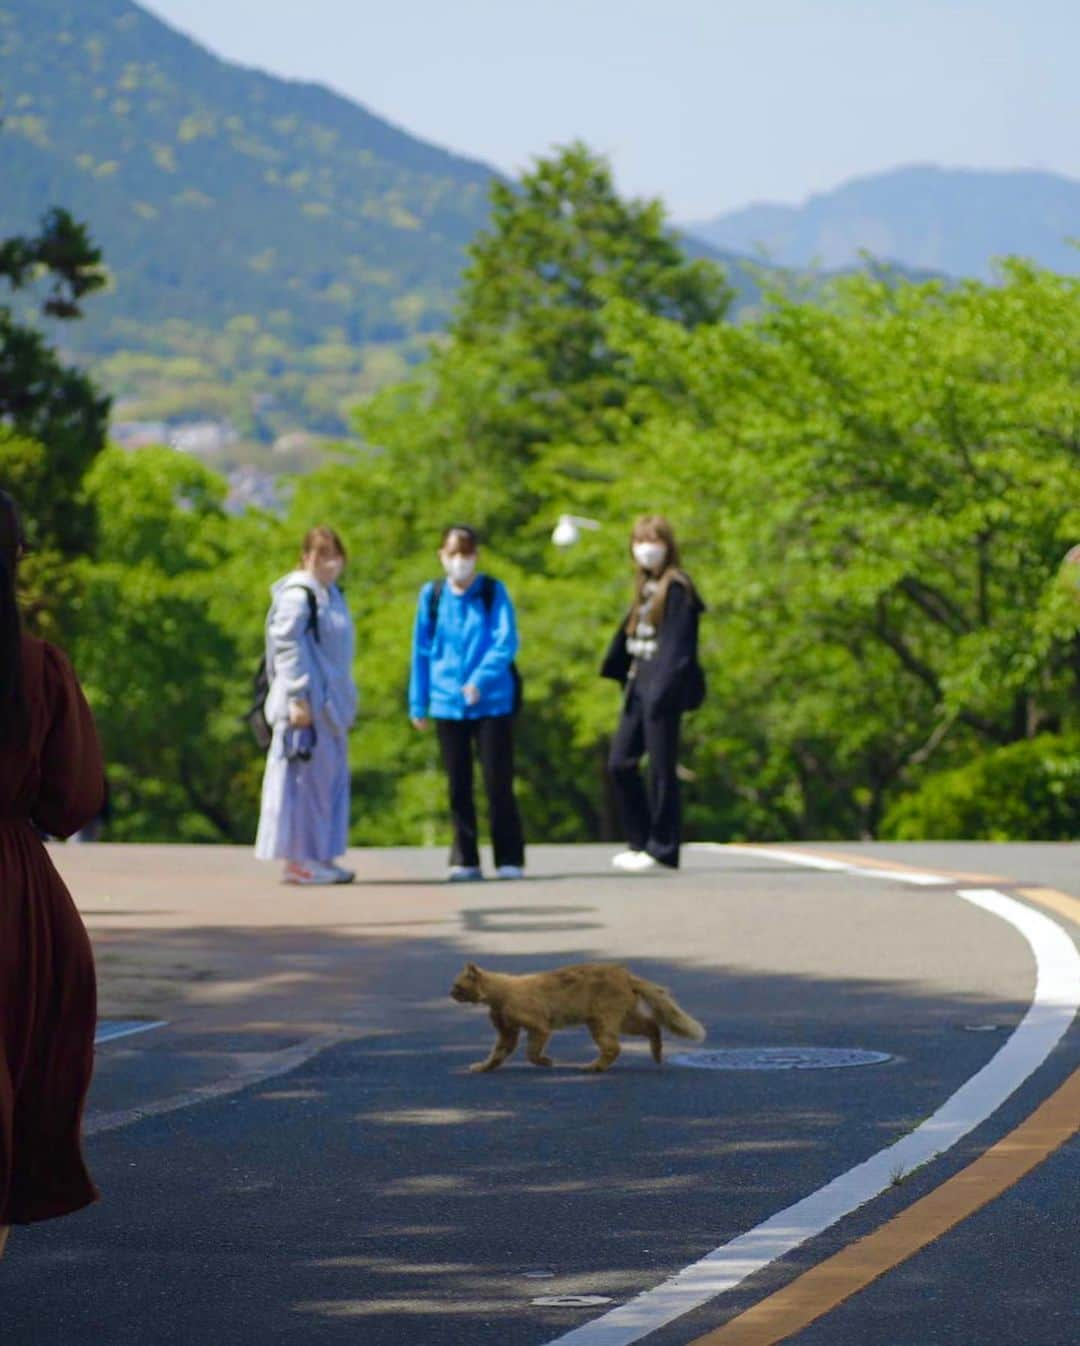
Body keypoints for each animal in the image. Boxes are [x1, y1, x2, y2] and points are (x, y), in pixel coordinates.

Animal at [447, 958, 705, 1071]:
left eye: (457, 986)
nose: (449, 993)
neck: (499, 995)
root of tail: (625, 974)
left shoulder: (539, 1026)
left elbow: (532, 1052)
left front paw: (546, 1062)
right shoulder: (507, 1032)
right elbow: (497, 1054)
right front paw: (483, 1067)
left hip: (602, 1021)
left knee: (614, 1047)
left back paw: (593, 1067)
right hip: (624, 1019)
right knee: (652, 1025)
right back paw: (657, 1055)